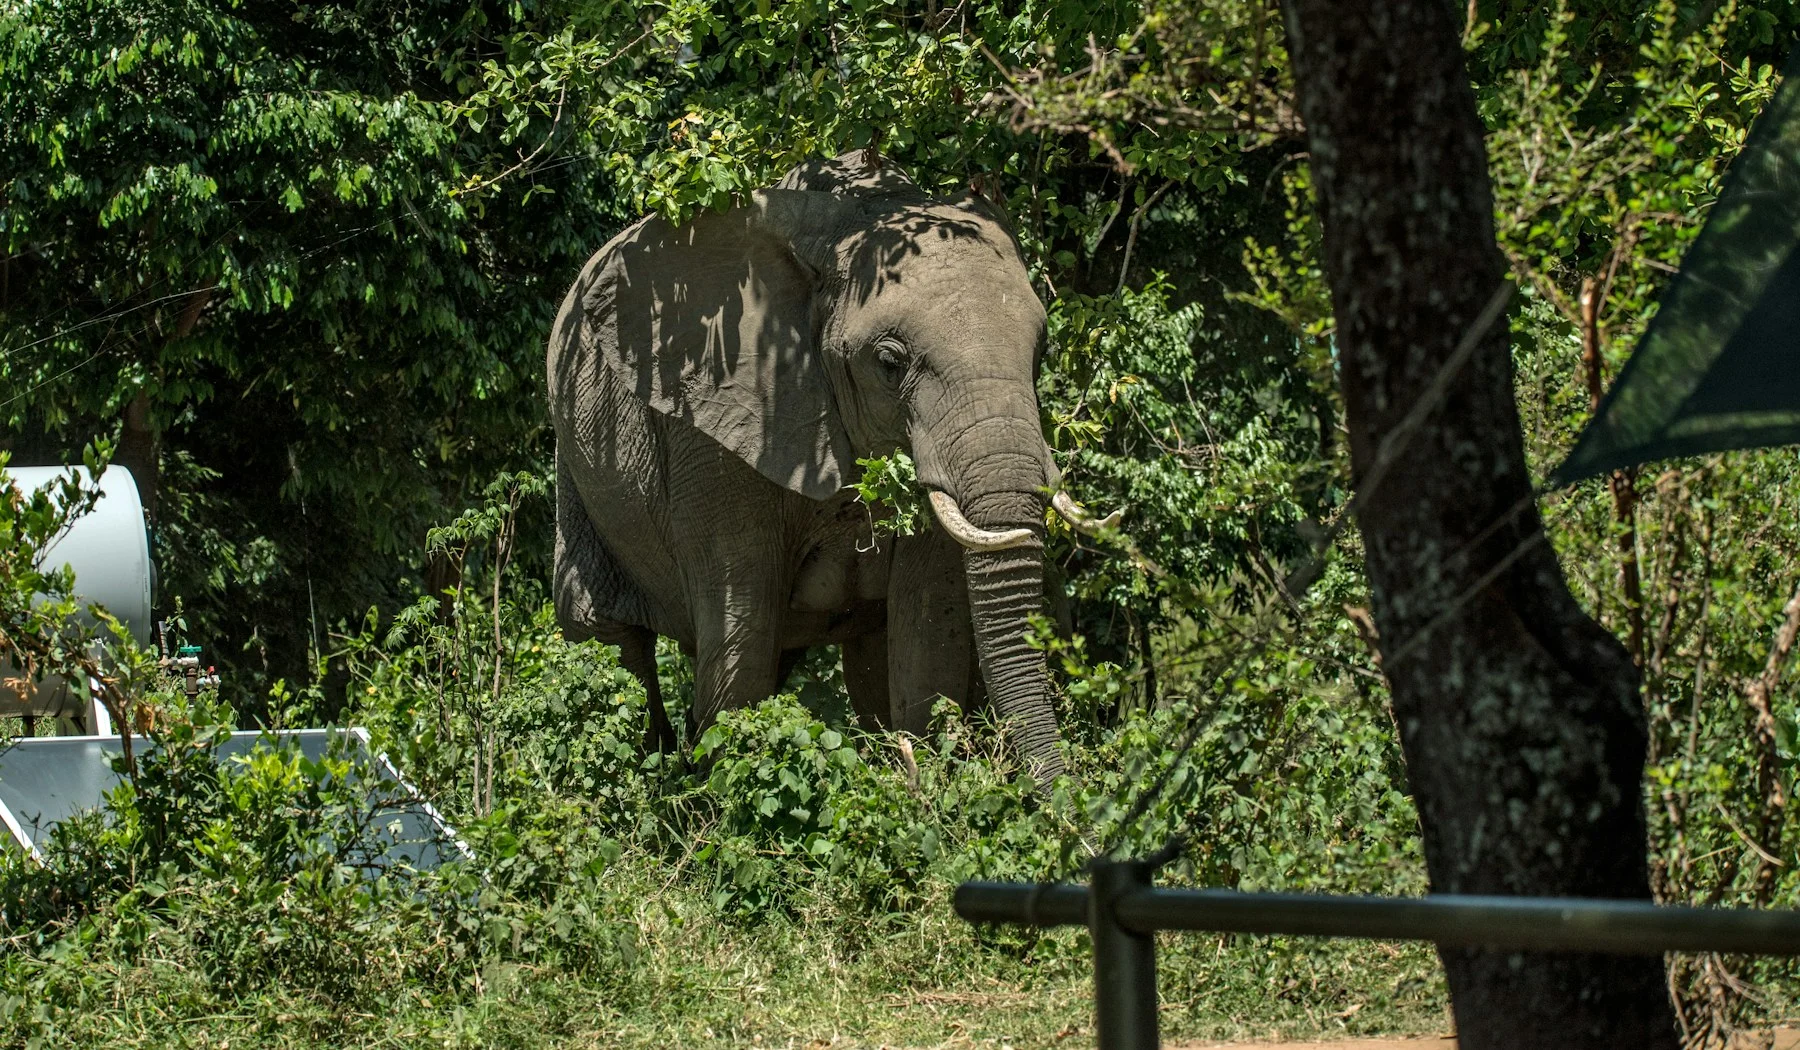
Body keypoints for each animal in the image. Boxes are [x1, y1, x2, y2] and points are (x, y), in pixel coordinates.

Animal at [546, 150, 1116, 784]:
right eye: (889, 362)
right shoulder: (712, 426)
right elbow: (743, 626)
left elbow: (926, 622)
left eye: (1041, 351)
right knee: (608, 639)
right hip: (576, 465)